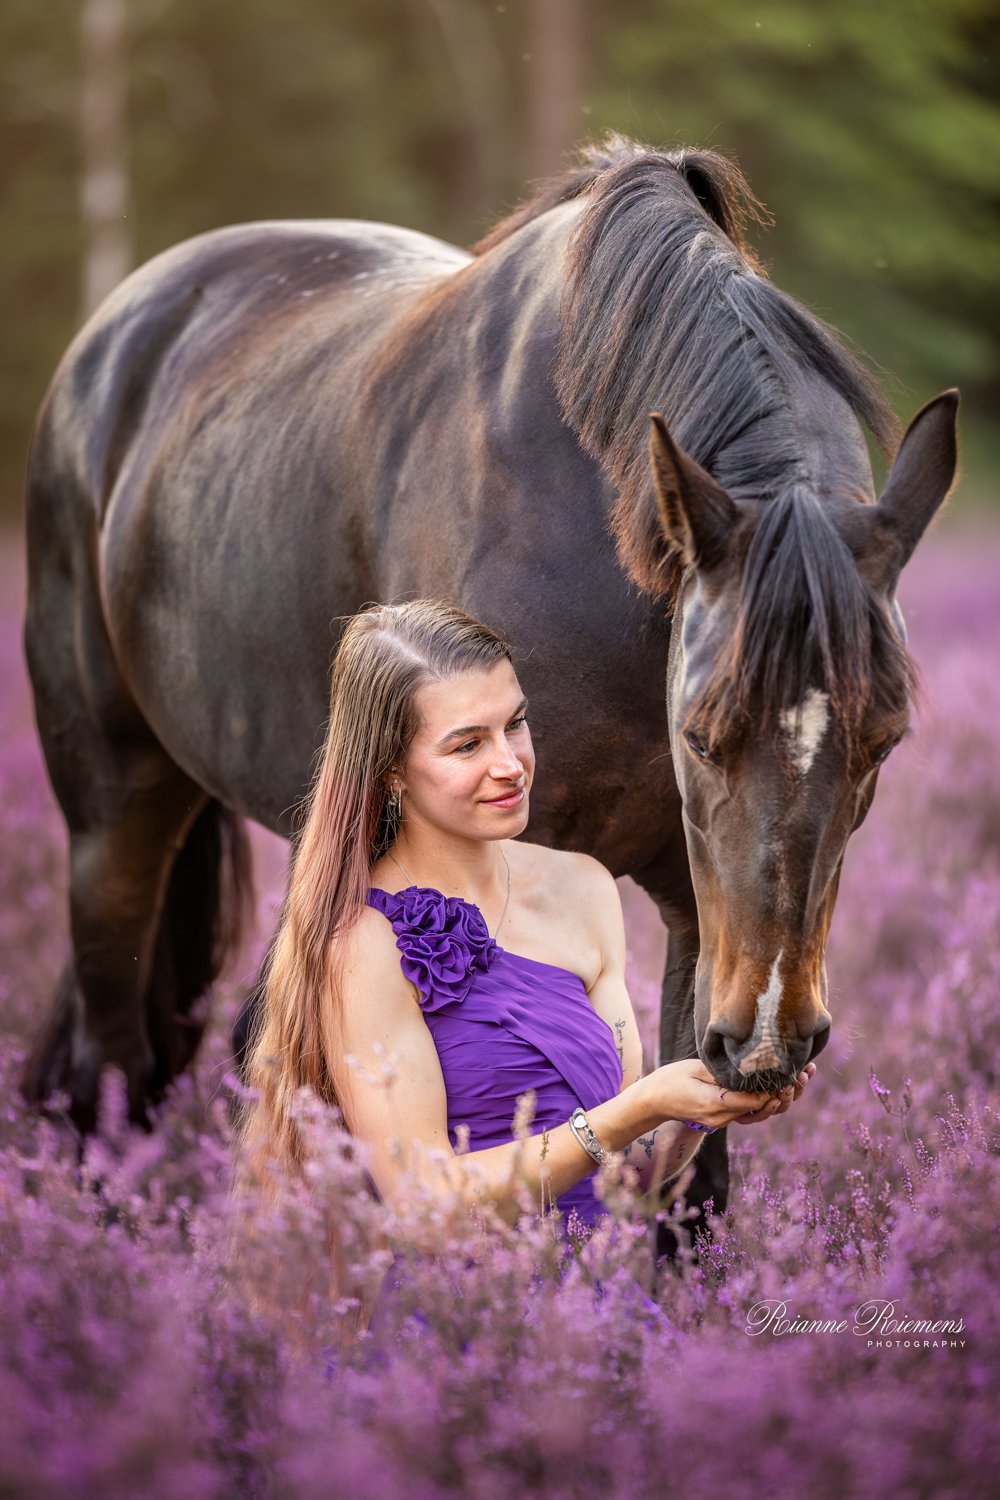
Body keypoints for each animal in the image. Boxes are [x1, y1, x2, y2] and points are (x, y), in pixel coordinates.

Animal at [22, 135, 957, 1228]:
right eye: (699, 732)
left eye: (882, 741)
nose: (770, 1040)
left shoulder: (699, 914)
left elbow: (686, 1184)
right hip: (112, 818)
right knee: (109, 1069)